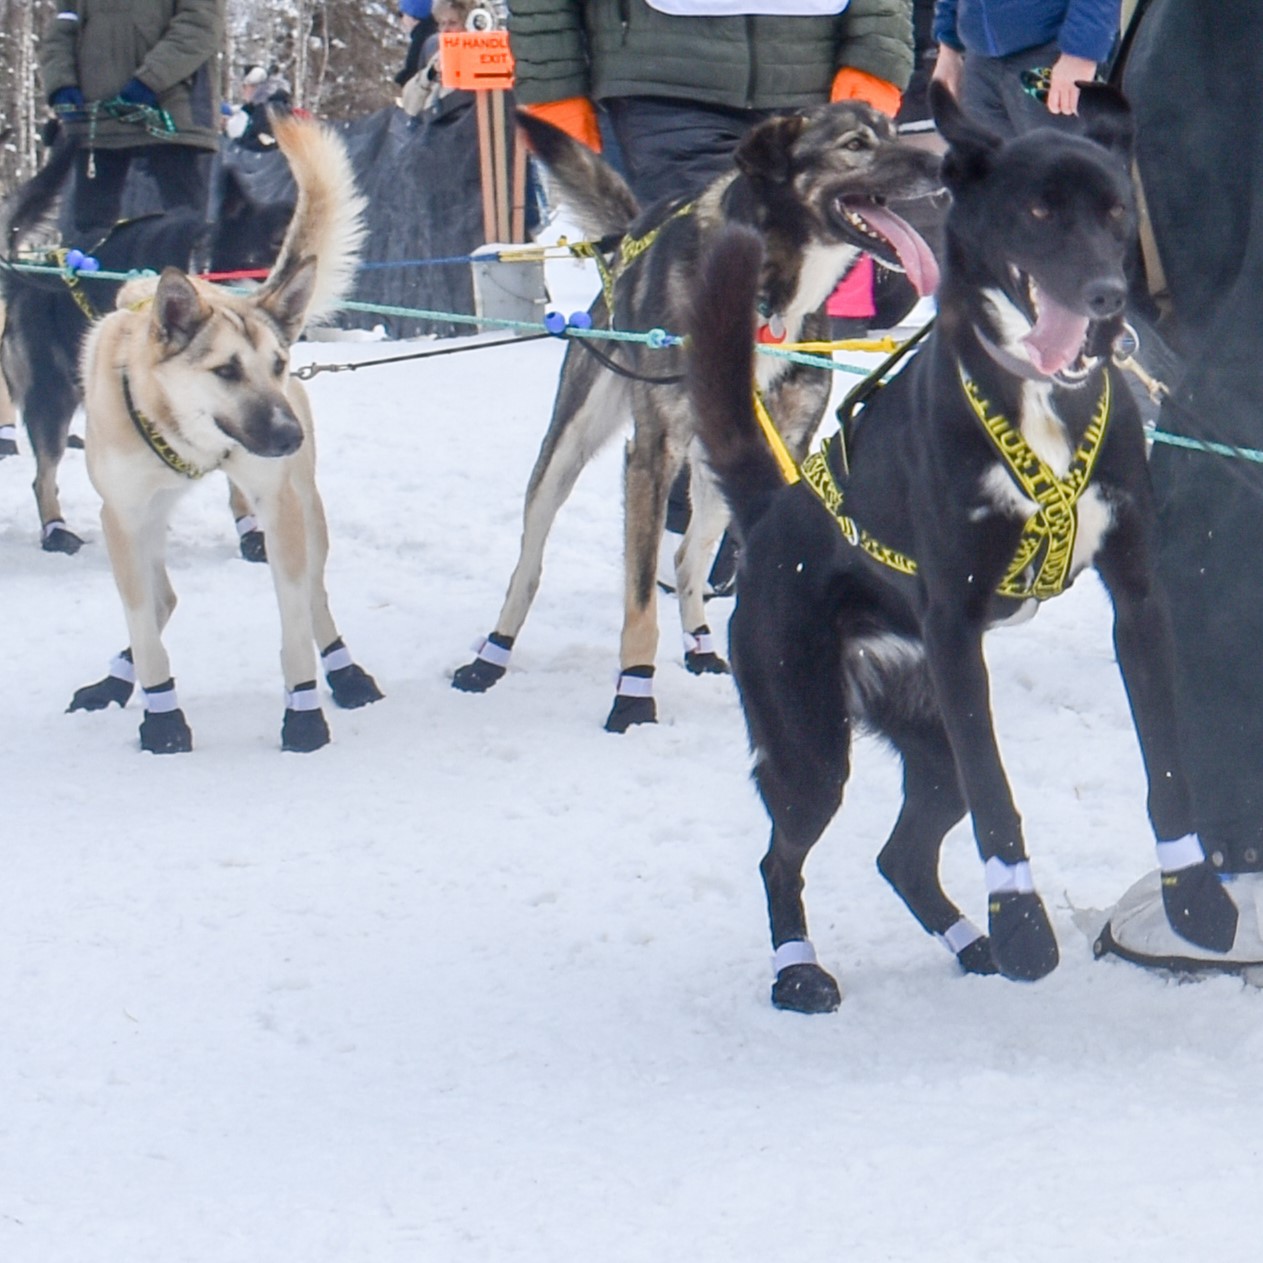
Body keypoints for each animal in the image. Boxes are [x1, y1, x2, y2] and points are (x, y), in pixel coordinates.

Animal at [67, 111, 381, 747]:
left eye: (278, 365)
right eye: (226, 371)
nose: (289, 436)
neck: (187, 440)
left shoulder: (279, 505)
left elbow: (294, 623)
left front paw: (303, 714)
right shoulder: (123, 516)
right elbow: (145, 624)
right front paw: (161, 718)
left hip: (303, 506)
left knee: (314, 596)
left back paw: (345, 671)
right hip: (144, 523)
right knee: (161, 598)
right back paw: (115, 680)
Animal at [452, 101, 939, 732]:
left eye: (893, 131)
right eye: (857, 144)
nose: (942, 162)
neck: (769, 301)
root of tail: (629, 237)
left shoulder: (786, 446)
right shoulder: (651, 454)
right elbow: (637, 599)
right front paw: (634, 695)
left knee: (687, 557)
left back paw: (702, 646)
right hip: (568, 448)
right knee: (528, 564)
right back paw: (491, 657)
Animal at [687, 83, 1237, 1010]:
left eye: (1115, 212)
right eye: (1037, 210)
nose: (1103, 296)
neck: (1037, 404)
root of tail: (770, 514)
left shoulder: (1136, 597)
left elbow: (1165, 761)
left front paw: (1190, 892)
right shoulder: (951, 627)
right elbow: (996, 792)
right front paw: (1020, 921)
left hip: (926, 739)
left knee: (900, 853)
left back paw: (967, 942)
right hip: (810, 743)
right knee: (780, 856)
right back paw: (800, 968)